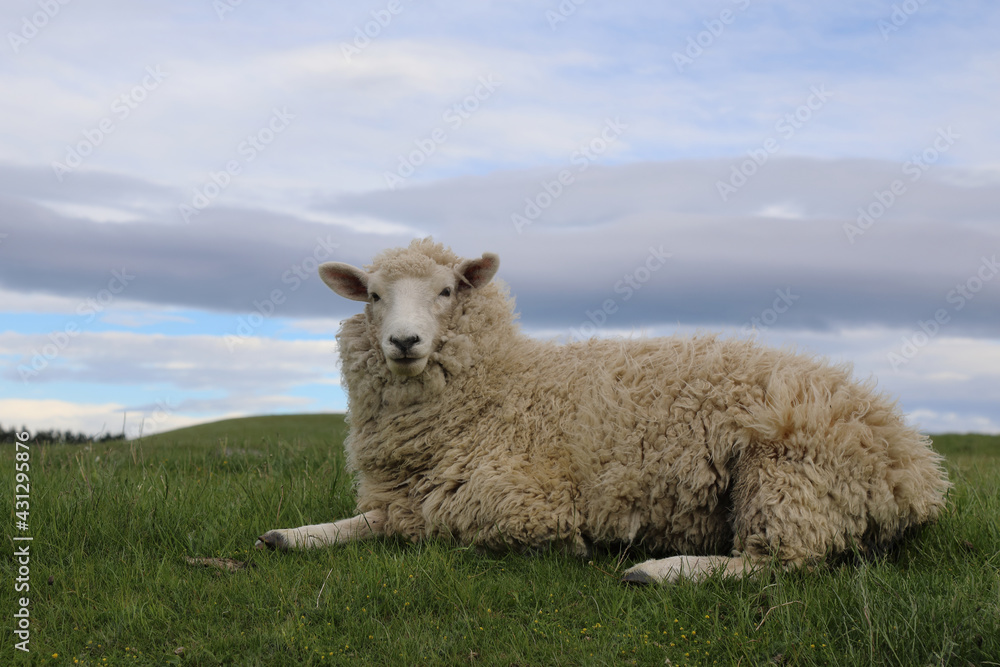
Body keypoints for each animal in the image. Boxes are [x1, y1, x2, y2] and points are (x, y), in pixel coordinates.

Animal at [255, 238, 950, 584]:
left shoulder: (522, 501)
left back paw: (660, 570)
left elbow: (426, 529)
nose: (404, 342)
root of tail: (916, 468)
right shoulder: (403, 494)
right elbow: (366, 521)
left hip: (787, 474)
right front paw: (294, 534)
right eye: (373, 295)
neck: (503, 387)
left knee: (778, 562)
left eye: (447, 290)